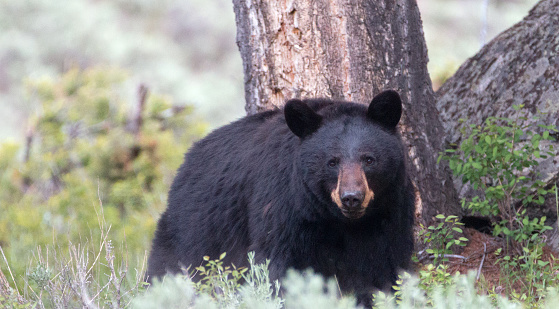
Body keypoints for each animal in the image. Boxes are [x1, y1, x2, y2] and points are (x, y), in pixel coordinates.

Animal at [147, 89, 414, 304]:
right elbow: (277, 268)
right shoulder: (284, 208)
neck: (337, 220)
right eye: (332, 162)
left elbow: (383, 270)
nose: (351, 197)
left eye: (369, 159)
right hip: (193, 231)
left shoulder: (390, 211)